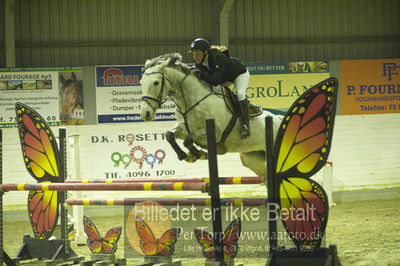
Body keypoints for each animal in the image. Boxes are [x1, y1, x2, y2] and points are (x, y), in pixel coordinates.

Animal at [139, 53, 282, 178]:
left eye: (156, 82)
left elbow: (188, 140)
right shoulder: (183, 128)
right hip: (251, 157)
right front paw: (186, 156)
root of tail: (279, 120)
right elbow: (169, 135)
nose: (145, 113)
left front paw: (199, 154)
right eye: (141, 82)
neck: (191, 101)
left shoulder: (214, 133)